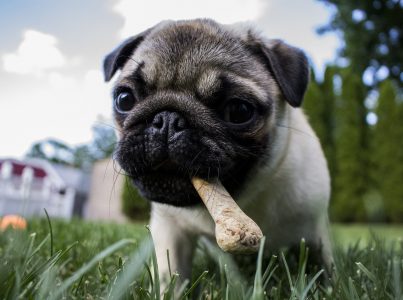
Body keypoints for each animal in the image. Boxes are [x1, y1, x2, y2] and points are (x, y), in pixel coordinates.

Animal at [102, 18, 332, 284]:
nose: (167, 119)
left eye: (239, 111)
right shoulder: (170, 229)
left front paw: (329, 284)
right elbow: (170, 275)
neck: (243, 199)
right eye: (124, 99)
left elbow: (325, 267)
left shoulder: (315, 230)